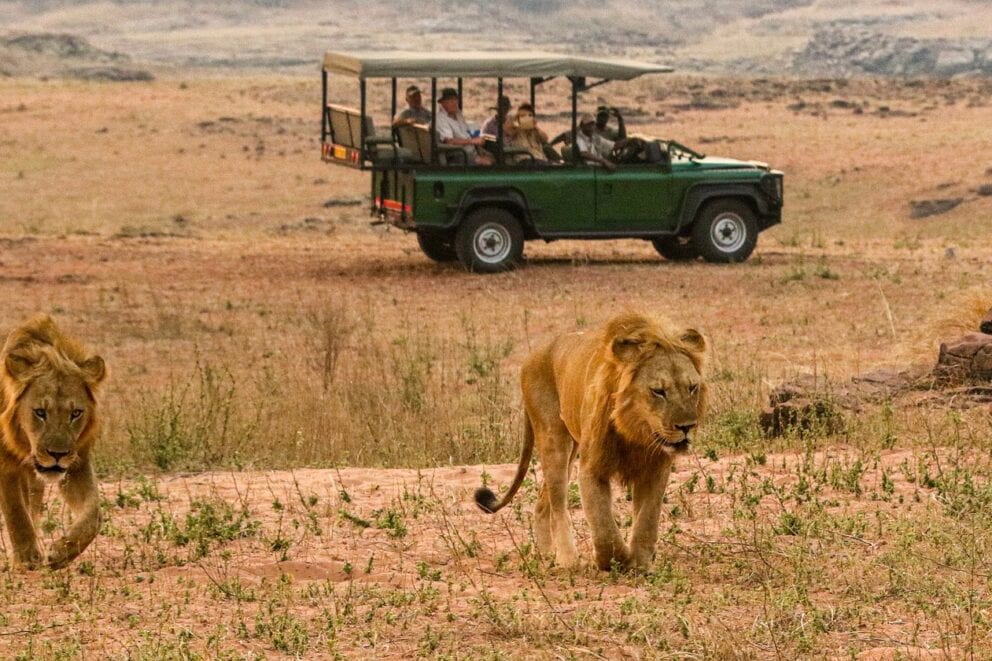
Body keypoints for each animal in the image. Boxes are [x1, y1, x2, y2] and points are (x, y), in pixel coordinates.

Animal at [0, 315, 107, 570]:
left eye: (76, 413)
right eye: (40, 412)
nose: (57, 454)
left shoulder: (77, 462)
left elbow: (94, 513)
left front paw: (62, 552)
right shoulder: (4, 462)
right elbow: (15, 509)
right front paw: (27, 557)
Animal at [475, 312, 707, 571]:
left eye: (692, 387)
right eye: (658, 391)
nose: (686, 426)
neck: (637, 432)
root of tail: (533, 354)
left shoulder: (656, 469)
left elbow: (647, 519)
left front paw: (640, 563)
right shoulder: (592, 468)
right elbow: (603, 523)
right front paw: (614, 560)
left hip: (572, 448)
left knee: (543, 503)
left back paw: (546, 555)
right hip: (554, 439)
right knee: (557, 503)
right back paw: (567, 560)